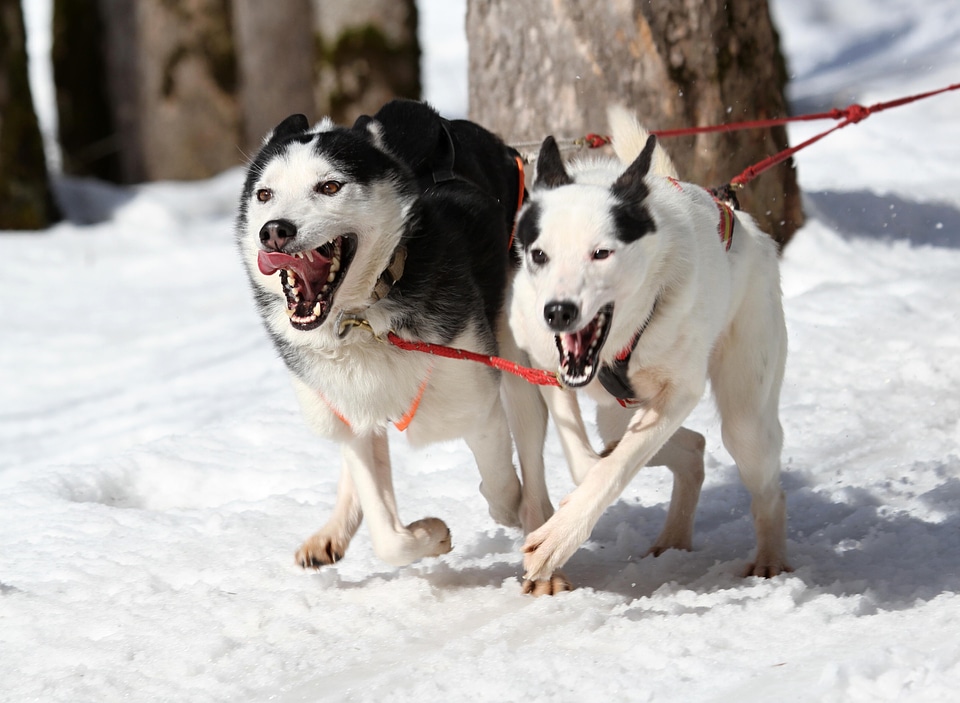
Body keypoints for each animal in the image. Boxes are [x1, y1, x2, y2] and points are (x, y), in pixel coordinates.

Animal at [235, 99, 556, 588]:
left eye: (329, 186)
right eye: (265, 194)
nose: (273, 231)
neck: (363, 317)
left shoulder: (475, 404)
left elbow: (502, 485)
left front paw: (508, 511)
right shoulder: (352, 407)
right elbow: (388, 535)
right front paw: (430, 535)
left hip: (515, 357)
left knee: (530, 443)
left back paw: (539, 532)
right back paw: (334, 530)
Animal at [506, 104, 792, 588]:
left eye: (601, 253)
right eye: (539, 254)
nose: (558, 312)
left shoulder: (677, 394)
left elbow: (616, 468)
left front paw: (556, 538)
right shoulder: (545, 366)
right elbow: (585, 459)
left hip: (746, 420)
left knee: (766, 486)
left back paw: (770, 557)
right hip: (616, 414)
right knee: (690, 449)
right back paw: (673, 538)